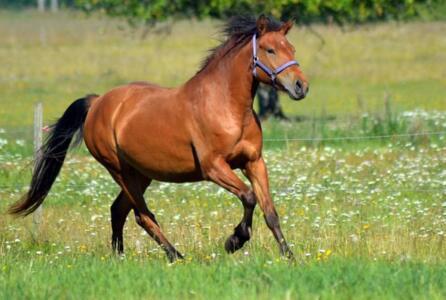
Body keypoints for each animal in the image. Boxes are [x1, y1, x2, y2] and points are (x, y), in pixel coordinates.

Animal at [11, 15, 310, 262]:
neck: (226, 106)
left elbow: (270, 211)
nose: (301, 87)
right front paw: (234, 241)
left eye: (292, 49)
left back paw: (120, 257)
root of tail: (97, 103)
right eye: (270, 50)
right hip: (119, 170)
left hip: (141, 173)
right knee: (142, 215)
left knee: (118, 210)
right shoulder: (213, 167)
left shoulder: (254, 162)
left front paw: (289, 257)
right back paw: (175, 255)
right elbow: (248, 197)